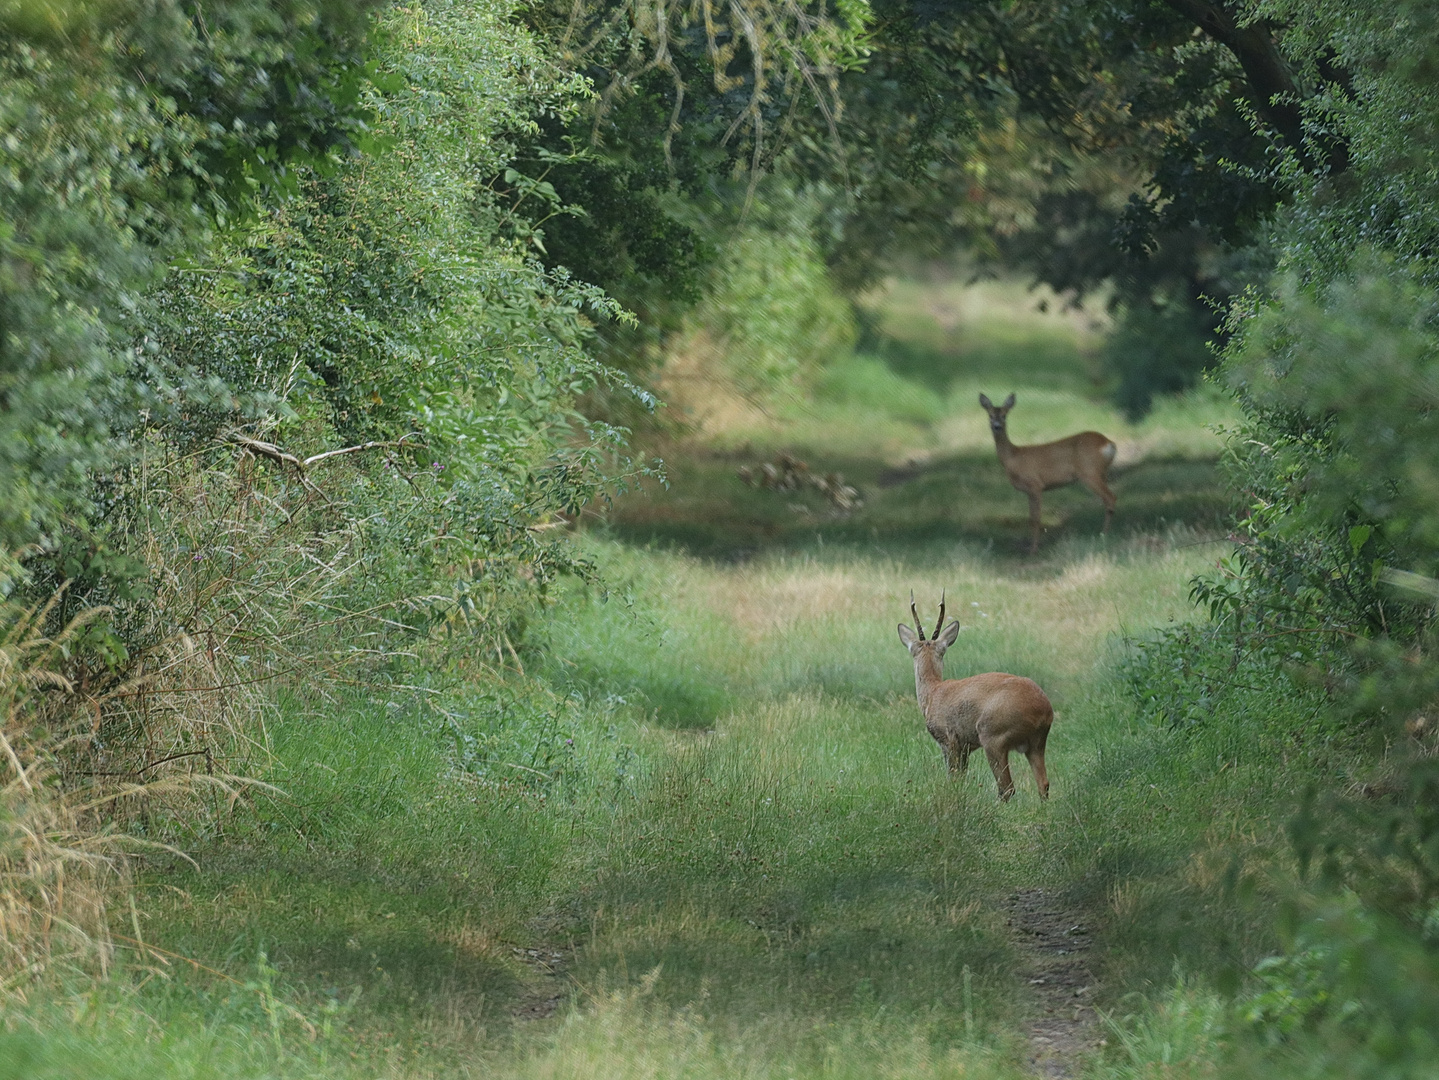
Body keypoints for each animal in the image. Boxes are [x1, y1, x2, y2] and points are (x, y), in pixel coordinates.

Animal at [897, 592, 1059, 805]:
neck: (933, 692)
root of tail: (1044, 710)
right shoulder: (965, 746)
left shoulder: (949, 740)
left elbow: (953, 778)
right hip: (1037, 742)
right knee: (1043, 784)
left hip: (993, 735)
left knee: (1007, 788)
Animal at [984, 394, 1116, 552]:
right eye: (990, 415)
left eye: (1004, 415)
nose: (997, 426)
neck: (1013, 457)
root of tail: (1109, 443)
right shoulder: (1028, 491)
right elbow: (1030, 518)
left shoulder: (1035, 484)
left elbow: (1036, 519)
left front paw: (1033, 549)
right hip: (1103, 472)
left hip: (1089, 472)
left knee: (1110, 498)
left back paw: (1104, 534)